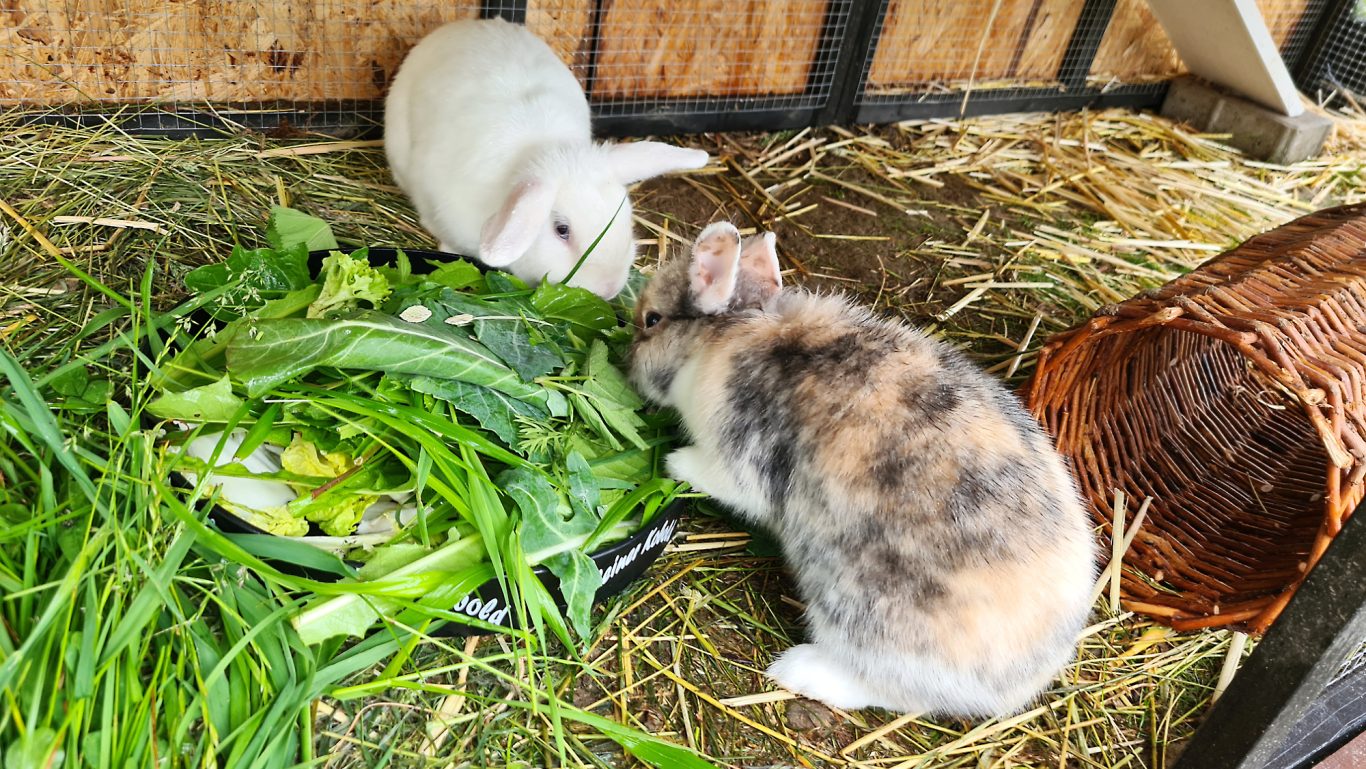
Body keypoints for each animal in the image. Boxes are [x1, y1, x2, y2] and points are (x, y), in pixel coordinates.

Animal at [628, 223, 1098, 717]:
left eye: (652, 320)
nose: (627, 365)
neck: (729, 336)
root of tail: (1025, 682)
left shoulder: (734, 456)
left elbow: (721, 479)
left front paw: (674, 461)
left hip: (857, 611)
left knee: (886, 690)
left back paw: (796, 670)